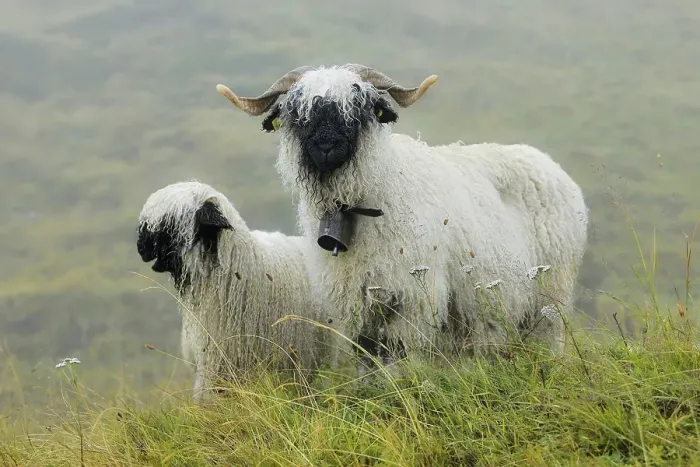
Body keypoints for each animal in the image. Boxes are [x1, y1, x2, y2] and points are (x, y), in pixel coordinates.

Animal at [214, 64, 589, 365]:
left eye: (360, 107)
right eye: (296, 111)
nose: (326, 148)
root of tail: (549, 164)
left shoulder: (414, 300)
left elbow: (400, 359)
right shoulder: (356, 306)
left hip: (550, 299)